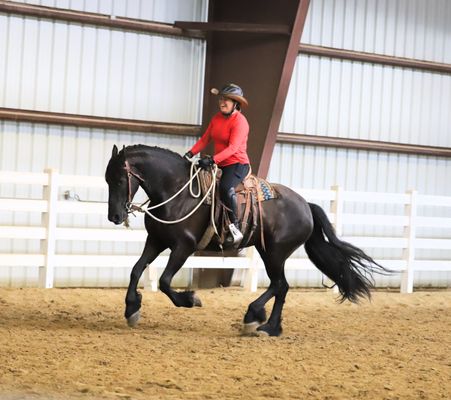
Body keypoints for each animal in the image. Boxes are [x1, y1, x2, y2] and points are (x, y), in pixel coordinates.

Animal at [105, 143, 388, 334]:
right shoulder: (156, 241)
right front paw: (132, 309)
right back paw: (270, 326)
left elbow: (164, 281)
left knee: (280, 285)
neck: (177, 192)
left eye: (119, 179)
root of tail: (306, 206)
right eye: (107, 180)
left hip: (275, 253)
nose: (115, 216)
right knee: (281, 286)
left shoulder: (183, 247)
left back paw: (256, 317)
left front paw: (190, 299)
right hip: (267, 251)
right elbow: (136, 270)